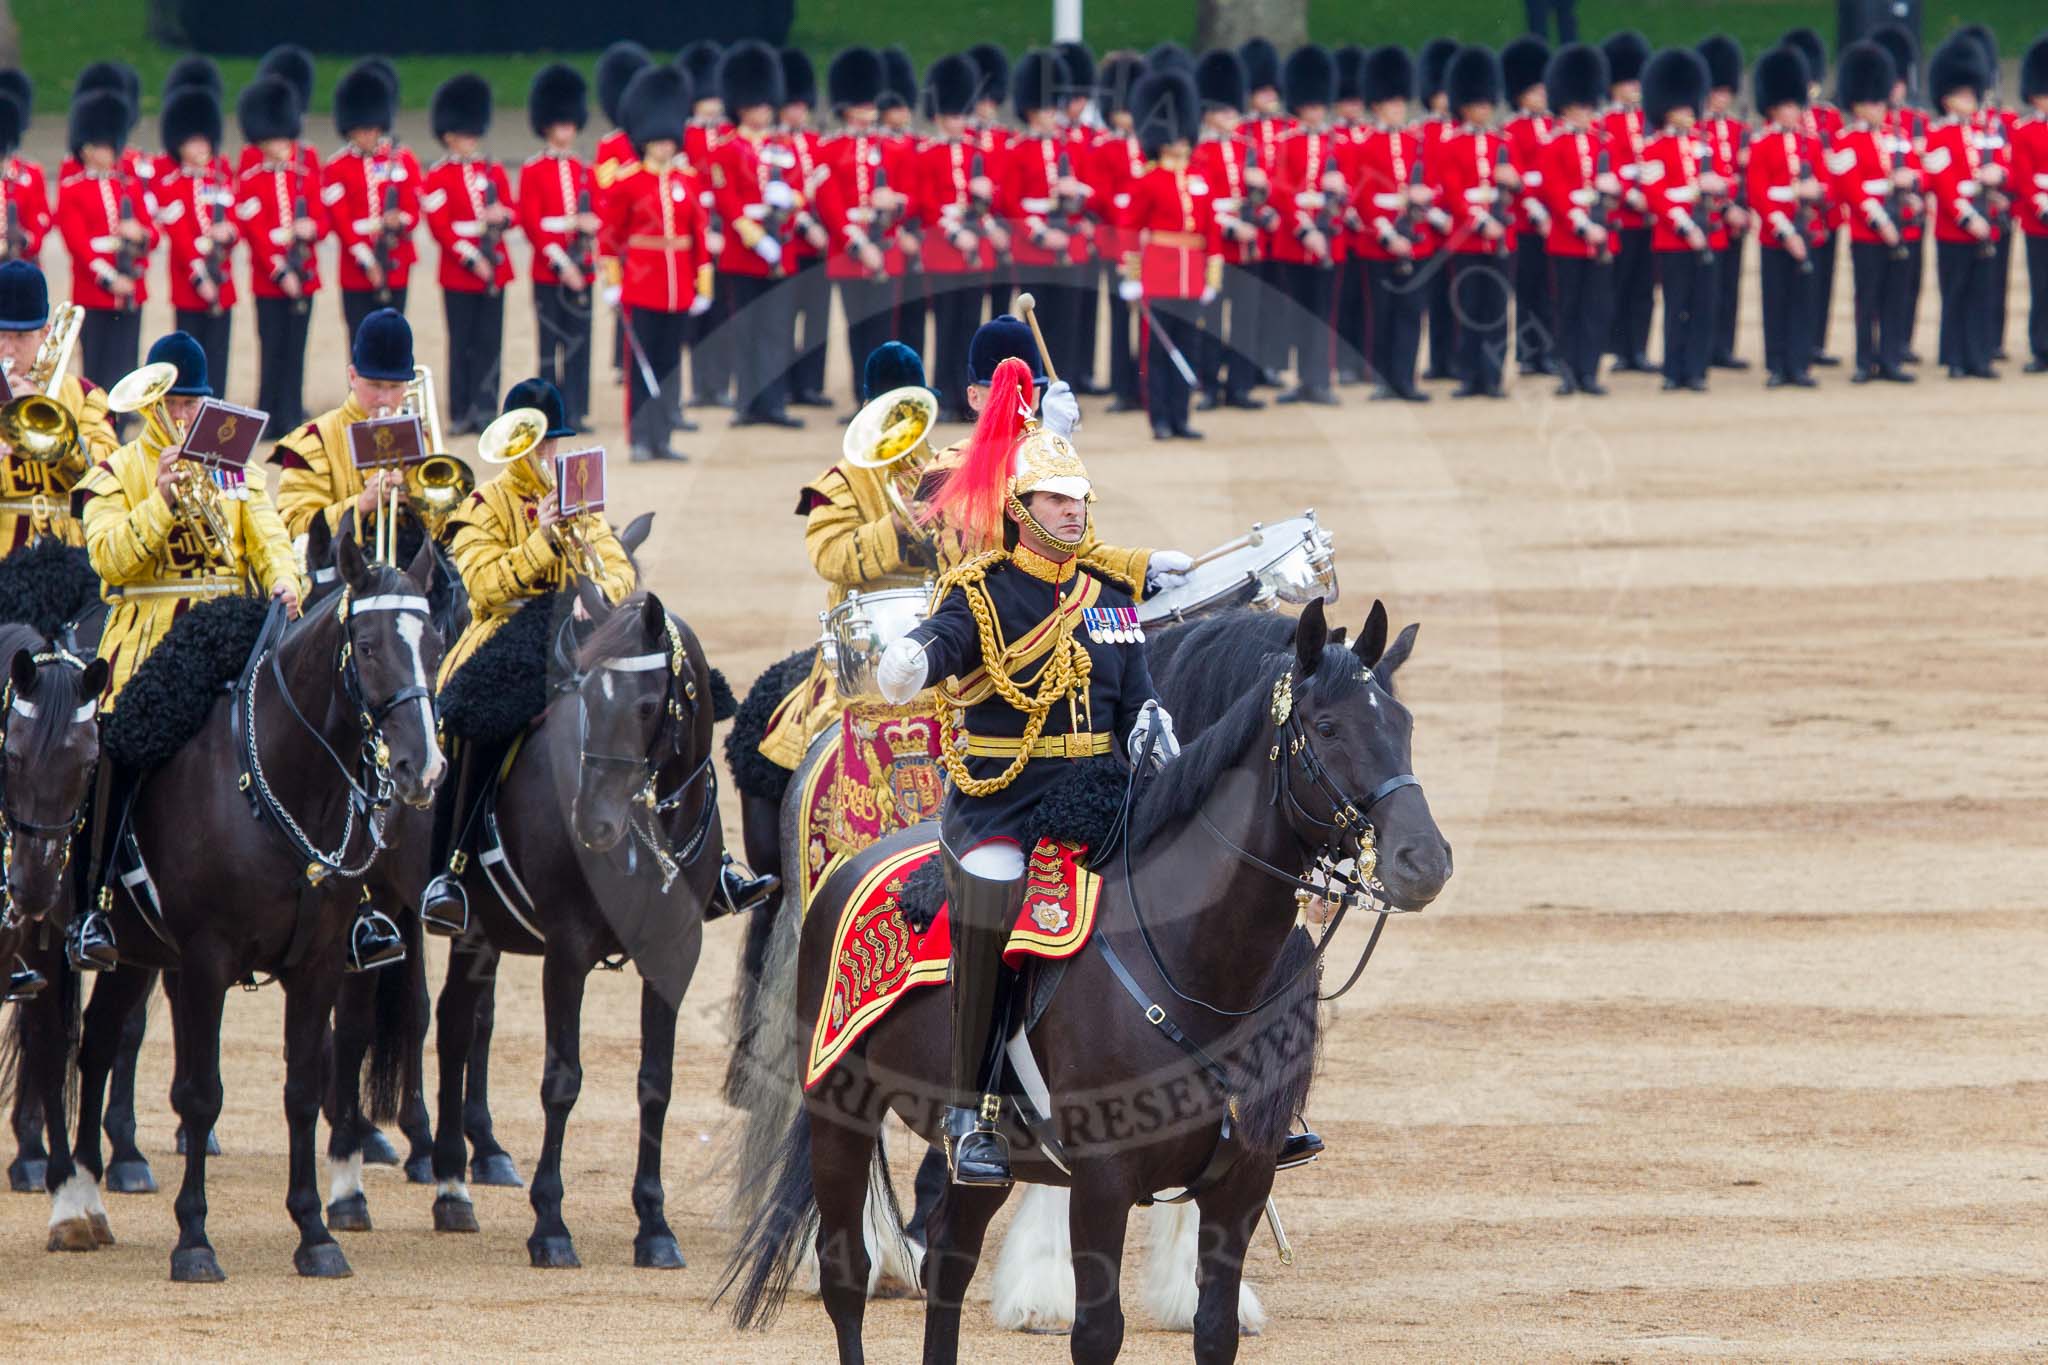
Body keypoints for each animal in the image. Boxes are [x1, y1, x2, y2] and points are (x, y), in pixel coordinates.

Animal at [423, 589, 720, 1268]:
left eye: (646, 705)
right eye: (585, 701)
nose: (594, 825)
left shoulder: (675, 954)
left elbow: (656, 1084)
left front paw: (654, 1226)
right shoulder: (567, 951)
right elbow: (562, 1081)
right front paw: (550, 1224)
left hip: (482, 936)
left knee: (461, 1022)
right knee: (441, 1026)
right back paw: (441, 1180)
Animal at [729, 601, 1449, 1358]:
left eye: (1404, 725)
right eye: (1329, 727)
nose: (1424, 860)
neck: (1191, 964)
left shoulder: (1242, 1184)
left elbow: (1215, 1330)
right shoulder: (1102, 1182)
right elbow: (1097, 1334)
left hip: (984, 1160)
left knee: (949, 1262)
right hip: (840, 1110)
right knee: (845, 1274)